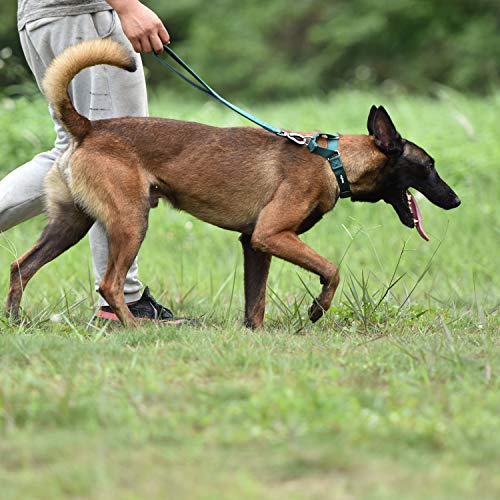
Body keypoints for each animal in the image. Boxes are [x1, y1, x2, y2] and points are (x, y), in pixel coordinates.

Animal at [4, 39, 460, 328]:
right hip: (131, 221)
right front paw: (317, 310)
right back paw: (134, 327)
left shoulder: (254, 244)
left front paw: (254, 334)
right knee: (109, 284)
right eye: (429, 166)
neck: (332, 161)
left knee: (21, 266)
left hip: (71, 224)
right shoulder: (273, 234)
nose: (455, 200)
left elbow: (255, 303)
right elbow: (332, 270)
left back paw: (14, 320)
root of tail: (90, 127)